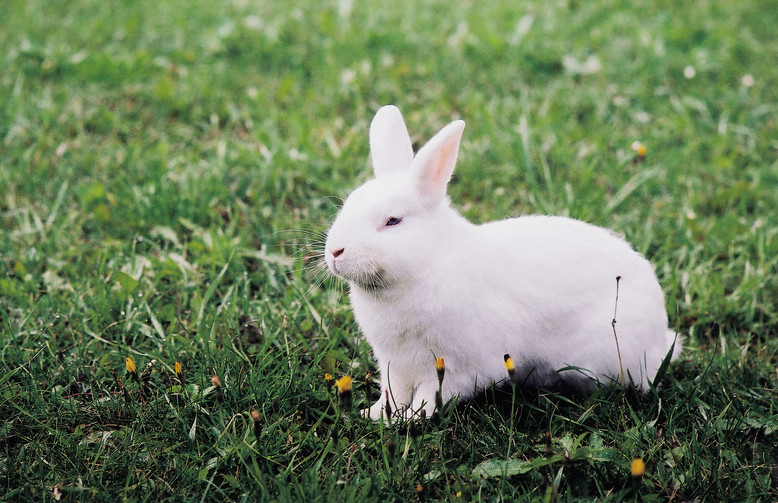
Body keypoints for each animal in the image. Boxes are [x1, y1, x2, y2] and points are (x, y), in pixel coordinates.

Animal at [324, 105, 680, 420]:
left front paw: (410, 420)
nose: (335, 251)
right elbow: (392, 394)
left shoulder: (453, 366)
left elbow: (430, 397)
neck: (426, 264)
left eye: (393, 221)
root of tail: (661, 336)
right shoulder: (394, 365)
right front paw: (376, 416)